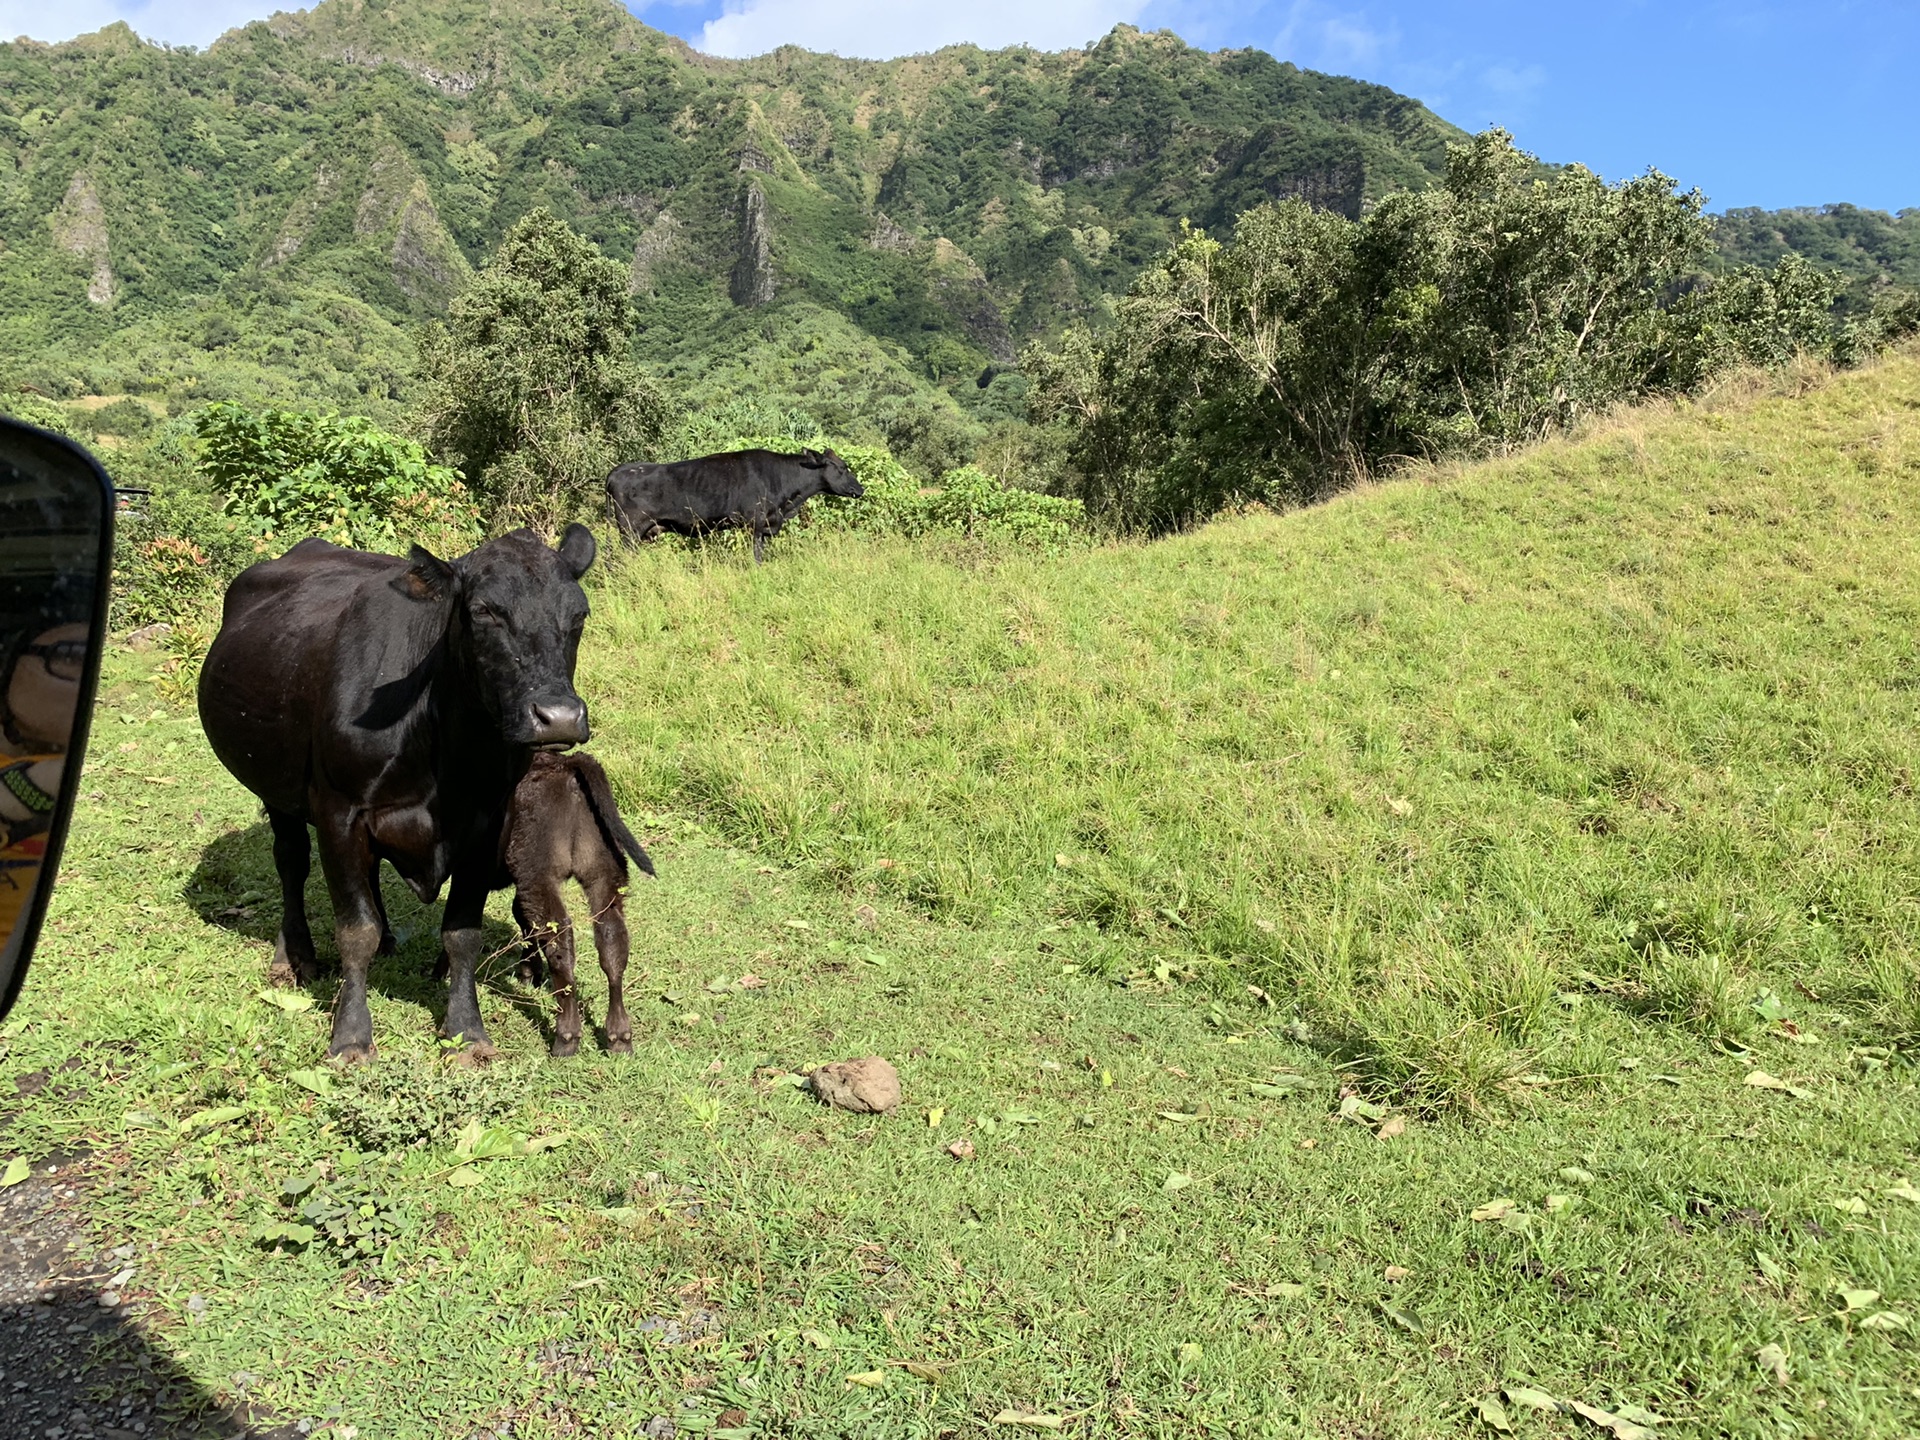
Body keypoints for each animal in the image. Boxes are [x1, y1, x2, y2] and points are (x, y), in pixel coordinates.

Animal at [198, 526, 595, 1059]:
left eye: (579, 613)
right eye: (483, 610)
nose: (559, 717)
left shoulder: (488, 822)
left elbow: (461, 933)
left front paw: (467, 1030)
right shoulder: (338, 811)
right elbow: (354, 930)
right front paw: (350, 1034)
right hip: (276, 788)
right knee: (291, 863)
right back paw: (294, 956)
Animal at [606, 451, 864, 564]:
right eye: (842, 468)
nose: (860, 489)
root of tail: (618, 470)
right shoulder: (755, 524)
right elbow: (757, 557)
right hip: (629, 531)